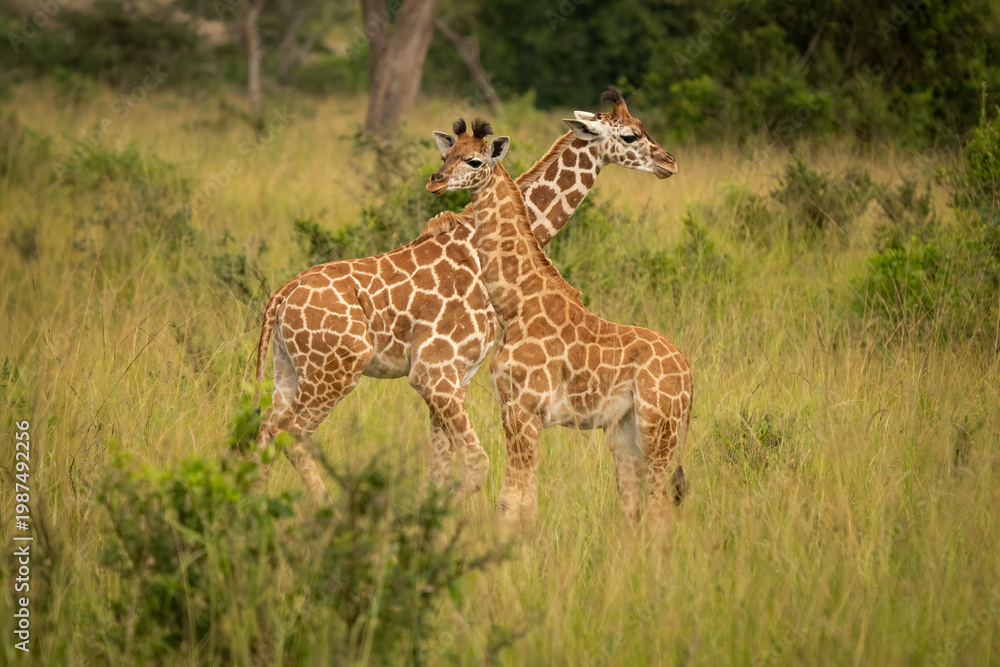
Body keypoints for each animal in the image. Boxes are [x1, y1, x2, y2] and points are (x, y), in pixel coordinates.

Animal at [254, 87, 679, 500]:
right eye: (631, 136)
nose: (669, 162)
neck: (477, 257)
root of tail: (281, 297)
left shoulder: (454, 375)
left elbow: (438, 467)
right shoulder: (435, 370)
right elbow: (473, 464)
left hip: (287, 368)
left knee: (264, 431)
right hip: (338, 368)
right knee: (289, 431)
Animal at [426, 118, 692, 532]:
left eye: (474, 161)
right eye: (445, 155)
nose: (435, 181)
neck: (516, 304)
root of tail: (690, 376)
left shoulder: (522, 410)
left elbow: (508, 502)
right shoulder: (525, 415)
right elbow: (528, 504)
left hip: (657, 430)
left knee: (659, 510)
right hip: (624, 432)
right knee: (633, 507)